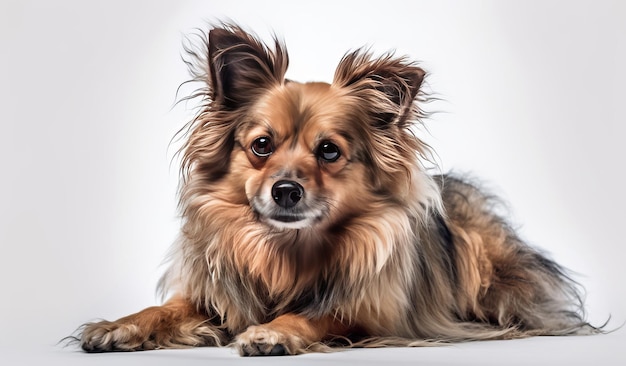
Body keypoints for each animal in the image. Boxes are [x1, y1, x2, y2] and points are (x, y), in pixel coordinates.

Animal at [75, 22, 596, 354]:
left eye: (328, 151)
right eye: (261, 146)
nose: (285, 189)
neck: (284, 250)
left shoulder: (369, 313)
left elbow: (318, 313)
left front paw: (272, 332)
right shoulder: (211, 296)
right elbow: (164, 308)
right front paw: (120, 326)